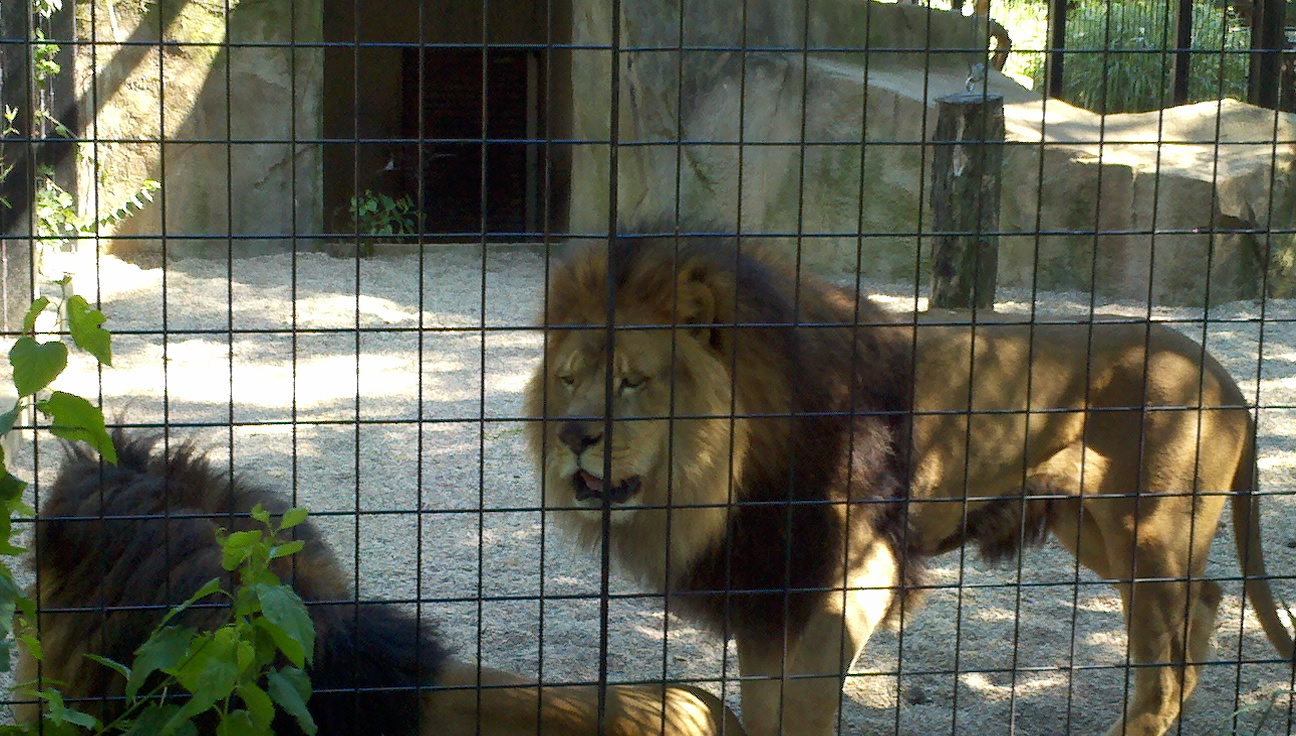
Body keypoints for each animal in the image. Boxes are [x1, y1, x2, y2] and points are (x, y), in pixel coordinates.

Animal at [524, 234, 1295, 736]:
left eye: (632, 381)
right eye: (568, 378)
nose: (572, 435)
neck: (728, 473)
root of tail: (1221, 373)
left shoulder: (856, 574)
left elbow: (801, 705)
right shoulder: (771, 585)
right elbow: (765, 703)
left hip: (1149, 534)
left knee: (1166, 672)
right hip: (1102, 533)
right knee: (1204, 603)